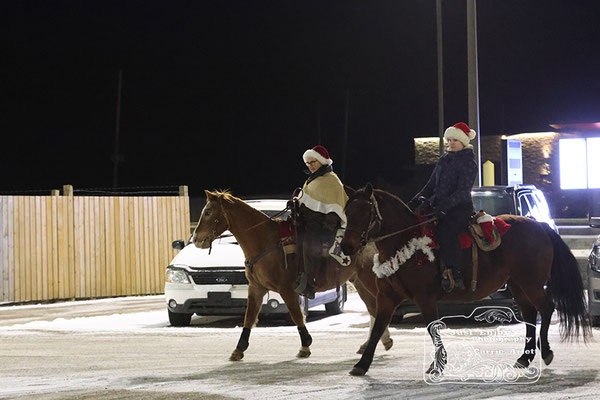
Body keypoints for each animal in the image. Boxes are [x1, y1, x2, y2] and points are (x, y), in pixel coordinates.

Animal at [192, 189, 394, 361]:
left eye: (208, 212)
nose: (196, 239)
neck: (266, 242)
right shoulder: (256, 288)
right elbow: (249, 317)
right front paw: (238, 349)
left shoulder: (286, 289)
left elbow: (296, 315)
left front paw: (305, 346)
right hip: (360, 282)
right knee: (373, 309)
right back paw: (376, 342)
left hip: (370, 280)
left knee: (378, 308)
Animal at [340, 183, 591, 376]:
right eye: (346, 211)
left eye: (364, 213)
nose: (345, 247)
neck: (404, 241)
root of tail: (540, 226)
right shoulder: (387, 298)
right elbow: (377, 329)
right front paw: (361, 365)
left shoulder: (425, 298)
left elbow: (432, 329)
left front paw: (437, 365)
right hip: (517, 285)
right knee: (530, 314)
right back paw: (524, 357)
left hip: (531, 283)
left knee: (546, 308)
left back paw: (546, 351)